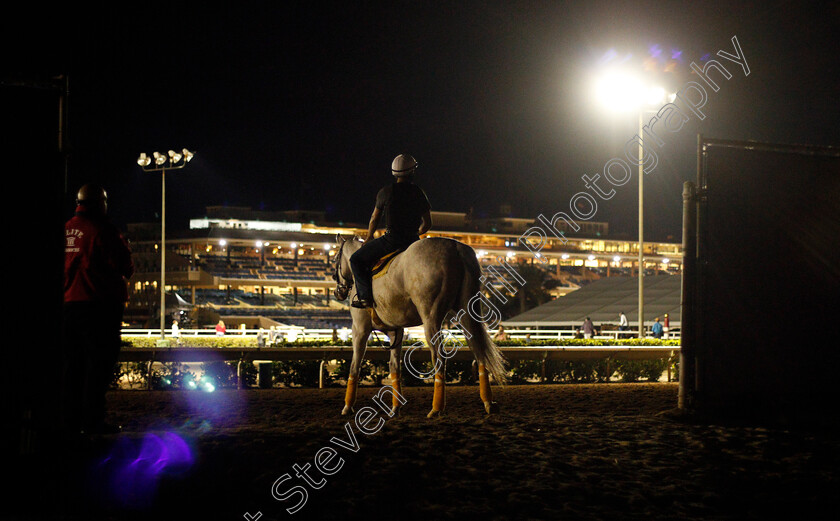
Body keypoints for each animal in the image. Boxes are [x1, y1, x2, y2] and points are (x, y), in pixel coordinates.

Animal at [334, 234, 506, 416]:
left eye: (336, 258)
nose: (338, 292)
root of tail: (455, 247)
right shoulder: (396, 331)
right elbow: (394, 366)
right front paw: (395, 407)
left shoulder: (360, 328)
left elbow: (355, 366)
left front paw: (348, 406)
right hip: (466, 312)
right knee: (478, 350)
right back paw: (488, 402)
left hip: (430, 318)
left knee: (439, 357)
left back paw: (436, 408)